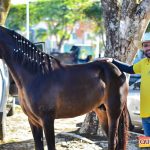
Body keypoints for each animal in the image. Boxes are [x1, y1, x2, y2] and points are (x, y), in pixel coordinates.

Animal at [0, 26, 129, 150]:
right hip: (102, 111)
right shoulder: (33, 121)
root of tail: (118, 70)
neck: (36, 75)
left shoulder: (47, 120)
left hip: (113, 112)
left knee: (112, 141)